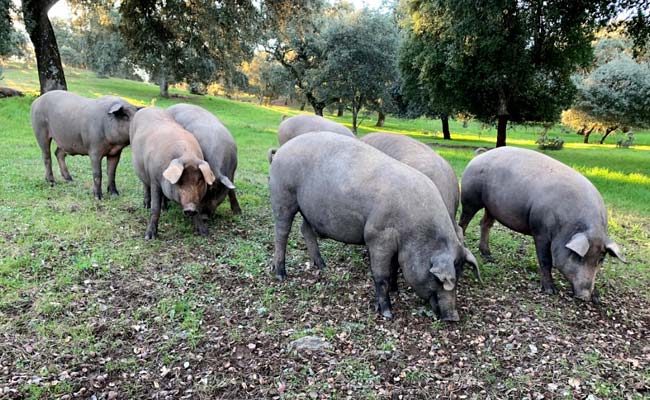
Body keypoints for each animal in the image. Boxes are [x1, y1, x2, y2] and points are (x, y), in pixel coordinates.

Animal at [129, 107, 216, 239]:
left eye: (200, 180)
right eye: (180, 181)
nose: (190, 208)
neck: (187, 155)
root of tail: (148, 108)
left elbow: (198, 210)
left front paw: (204, 233)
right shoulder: (154, 180)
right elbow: (155, 208)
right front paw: (149, 237)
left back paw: (165, 208)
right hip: (142, 172)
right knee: (145, 186)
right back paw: (146, 205)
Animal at [167, 104, 241, 236]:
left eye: (216, 191)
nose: (204, 217)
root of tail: (172, 106)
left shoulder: (232, 172)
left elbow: (232, 190)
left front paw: (238, 213)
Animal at [269, 132, 479, 321]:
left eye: (460, 274)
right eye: (439, 279)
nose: (453, 317)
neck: (416, 230)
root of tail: (281, 150)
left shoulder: (396, 245)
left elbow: (394, 267)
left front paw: (396, 290)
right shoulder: (378, 237)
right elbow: (381, 275)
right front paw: (387, 313)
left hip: (308, 208)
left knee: (305, 229)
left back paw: (322, 266)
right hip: (283, 195)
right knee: (282, 232)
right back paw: (281, 275)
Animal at [458, 147, 626, 303]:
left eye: (601, 259)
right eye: (578, 257)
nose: (584, 296)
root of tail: (478, 156)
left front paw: (597, 298)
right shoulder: (540, 230)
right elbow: (545, 260)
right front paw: (550, 290)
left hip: (491, 206)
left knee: (485, 224)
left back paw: (489, 256)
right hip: (470, 198)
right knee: (464, 222)